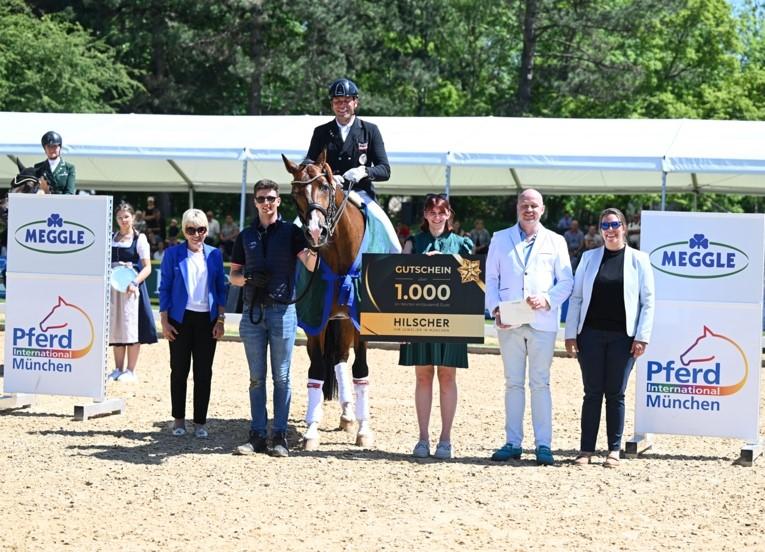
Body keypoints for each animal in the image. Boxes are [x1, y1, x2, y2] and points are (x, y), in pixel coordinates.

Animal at [282, 151, 373, 450]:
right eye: (295, 193)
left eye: (324, 186)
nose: (314, 233)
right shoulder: (315, 320)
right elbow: (317, 370)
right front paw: (311, 431)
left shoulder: (361, 322)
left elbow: (361, 370)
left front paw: (364, 431)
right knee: (338, 360)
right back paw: (345, 414)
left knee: (344, 360)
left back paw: (350, 416)